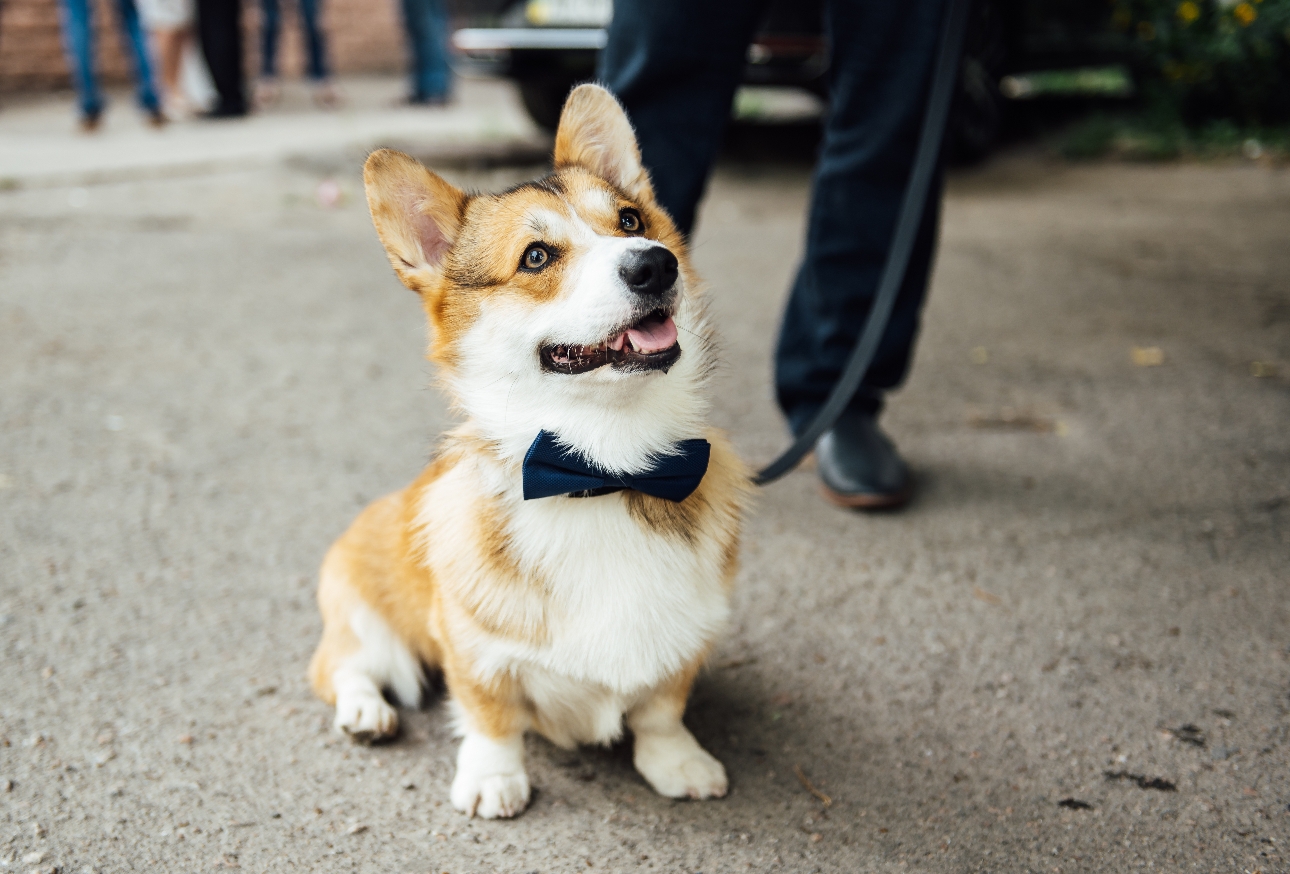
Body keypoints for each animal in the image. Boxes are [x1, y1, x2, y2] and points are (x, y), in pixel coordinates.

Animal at [308, 83, 753, 819]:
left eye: (631, 221)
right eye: (537, 257)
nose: (654, 262)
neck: (603, 470)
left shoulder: (686, 632)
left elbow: (662, 707)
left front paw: (677, 762)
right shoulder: (472, 647)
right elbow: (490, 714)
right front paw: (493, 778)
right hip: (368, 619)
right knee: (341, 666)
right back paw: (365, 711)